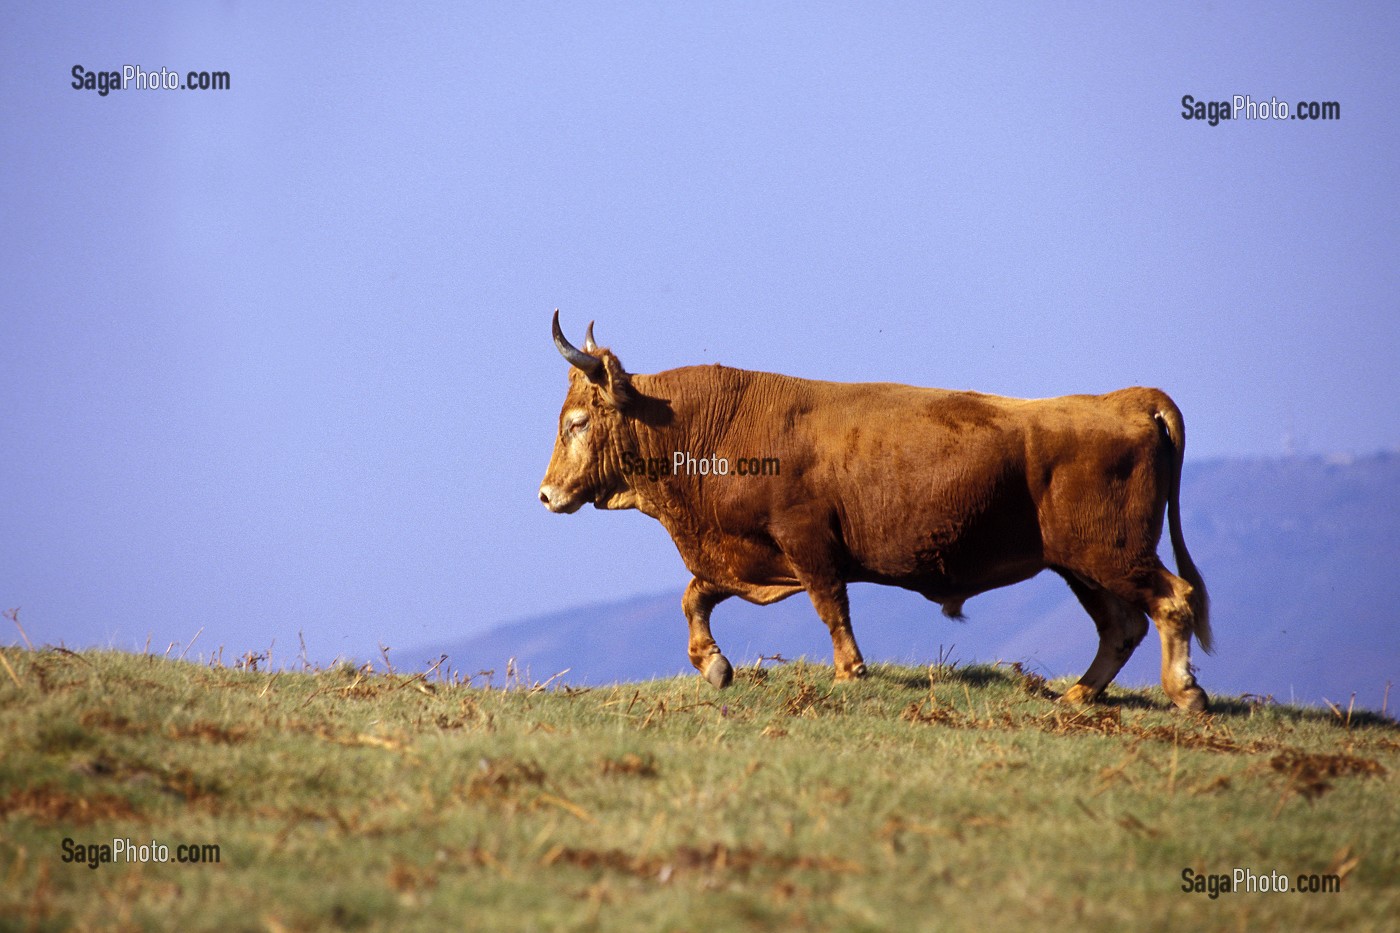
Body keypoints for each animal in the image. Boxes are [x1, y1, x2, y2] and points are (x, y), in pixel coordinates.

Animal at [534, 308, 1215, 708]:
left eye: (576, 422)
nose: (545, 493)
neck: (710, 426)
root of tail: (1126, 398)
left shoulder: (807, 543)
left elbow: (831, 606)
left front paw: (848, 672)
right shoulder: (744, 555)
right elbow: (694, 596)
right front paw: (714, 665)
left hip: (1110, 553)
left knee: (1171, 600)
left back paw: (1184, 692)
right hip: (1080, 564)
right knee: (1122, 625)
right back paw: (1077, 695)